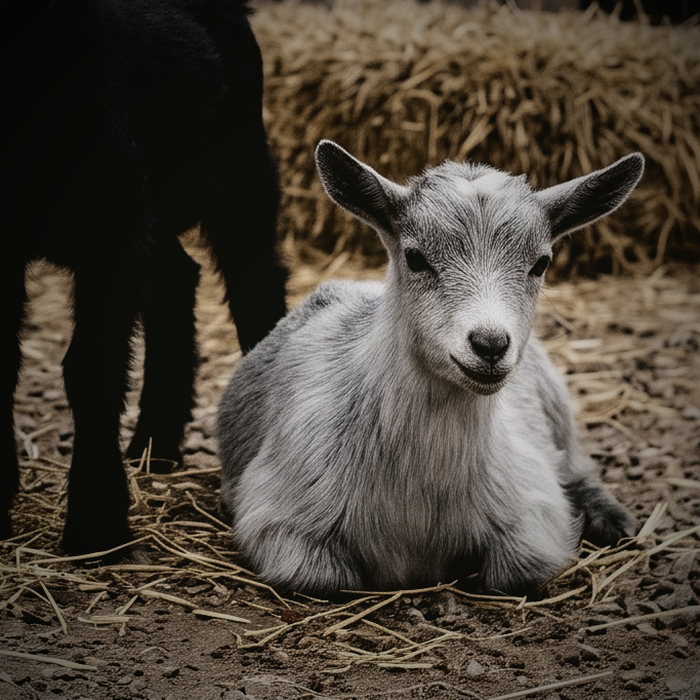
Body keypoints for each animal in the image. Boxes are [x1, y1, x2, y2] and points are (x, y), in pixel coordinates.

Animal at [1, 0, 287, 554]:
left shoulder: (109, 226)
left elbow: (91, 368)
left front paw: (96, 527)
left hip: (238, 169)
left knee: (255, 284)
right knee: (178, 275)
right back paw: (155, 444)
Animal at [216, 140, 643, 596]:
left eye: (540, 263)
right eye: (416, 258)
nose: (490, 344)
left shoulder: (533, 514)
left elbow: (518, 571)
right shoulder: (280, 518)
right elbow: (322, 577)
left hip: (557, 406)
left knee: (579, 466)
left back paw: (615, 520)